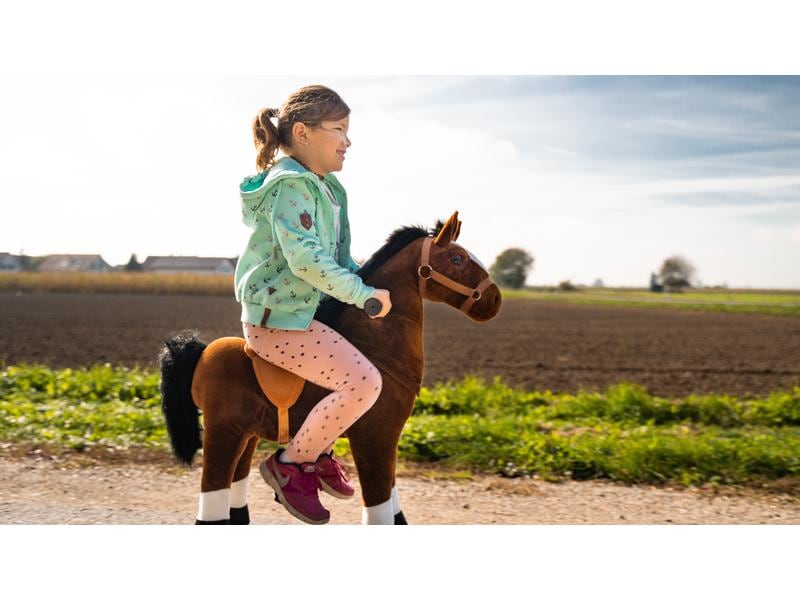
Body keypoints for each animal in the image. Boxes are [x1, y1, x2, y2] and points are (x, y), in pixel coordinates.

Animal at [157, 211, 502, 524]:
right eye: (457, 258)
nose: (495, 300)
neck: (376, 346)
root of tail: (202, 353)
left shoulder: (385, 439)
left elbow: (395, 509)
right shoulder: (375, 437)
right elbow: (382, 512)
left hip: (247, 434)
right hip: (224, 432)